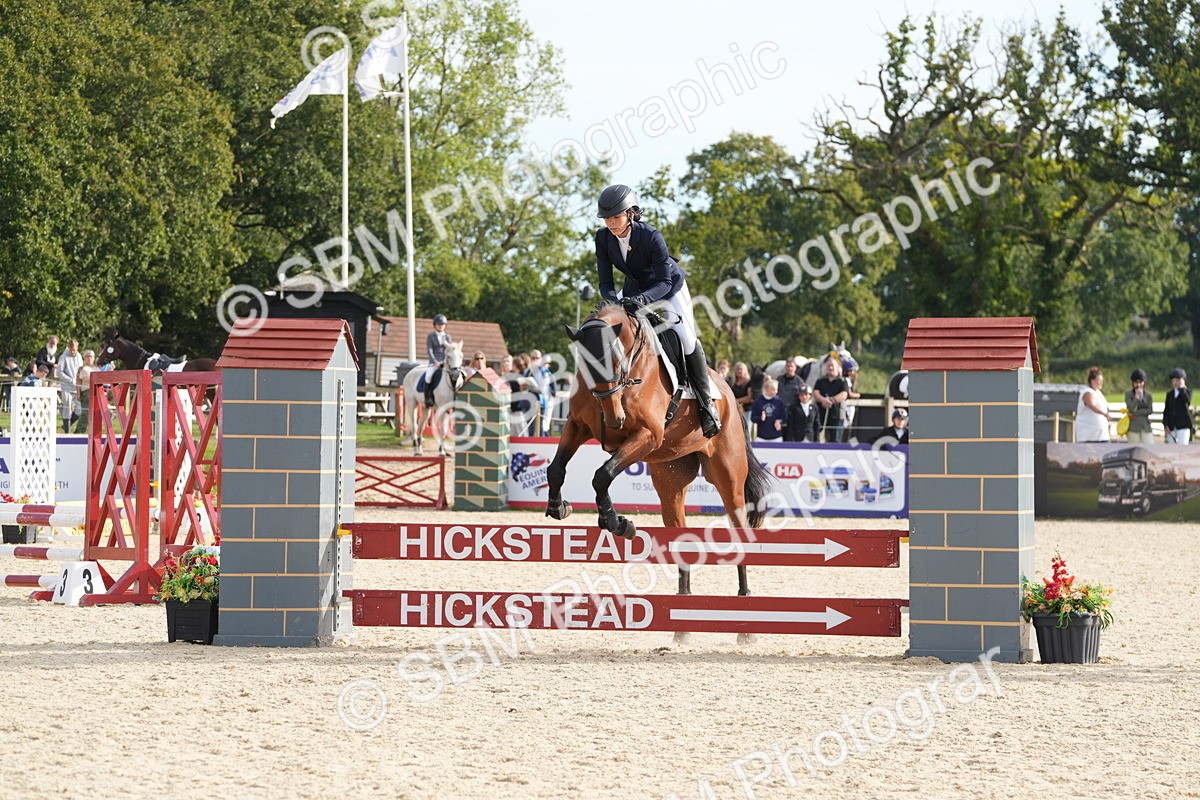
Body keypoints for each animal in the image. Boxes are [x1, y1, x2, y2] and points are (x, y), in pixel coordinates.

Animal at [544, 301, 774, 643]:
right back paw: (682, 624)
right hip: (670, 481)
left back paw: (745, 620)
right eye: (586, 367)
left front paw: (617, 523)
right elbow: (556, 468)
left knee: (739, 532)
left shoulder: (646, 435)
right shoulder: (577, 425)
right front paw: (559, 506)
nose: (614, 419)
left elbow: (602, 474)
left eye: (617, 362)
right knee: (680, 534)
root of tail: (729, 394)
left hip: (728, 478)